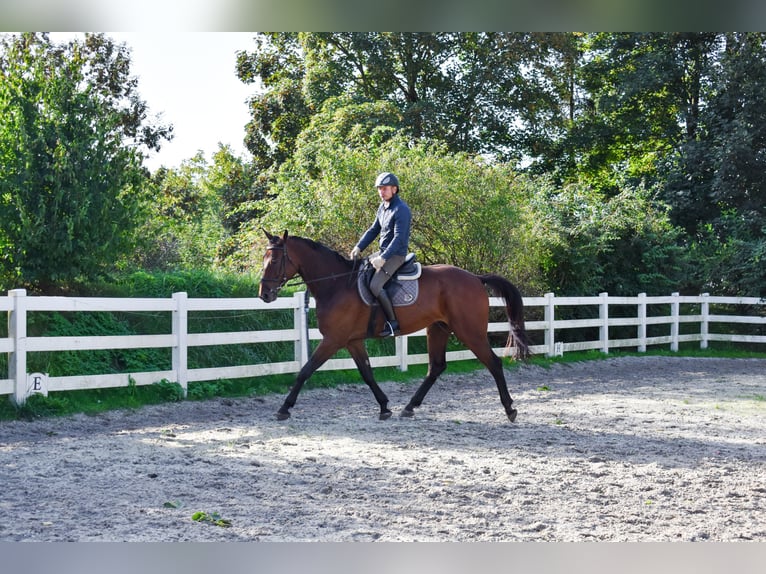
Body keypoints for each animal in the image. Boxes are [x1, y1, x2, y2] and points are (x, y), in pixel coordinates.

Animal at [258, 230, 531, 422]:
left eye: (275, 261)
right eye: (264, 258)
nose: (264, 294)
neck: (336, 284)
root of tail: (476, 277)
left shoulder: (333, 340)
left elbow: (305, 371)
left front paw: (284, 408)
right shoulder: (352, 341)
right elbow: (367, 373)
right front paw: (384, 406)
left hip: (469, 331)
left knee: (493, 363)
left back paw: (510, 409)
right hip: (438, 329)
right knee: (436, 367)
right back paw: (409, 407)